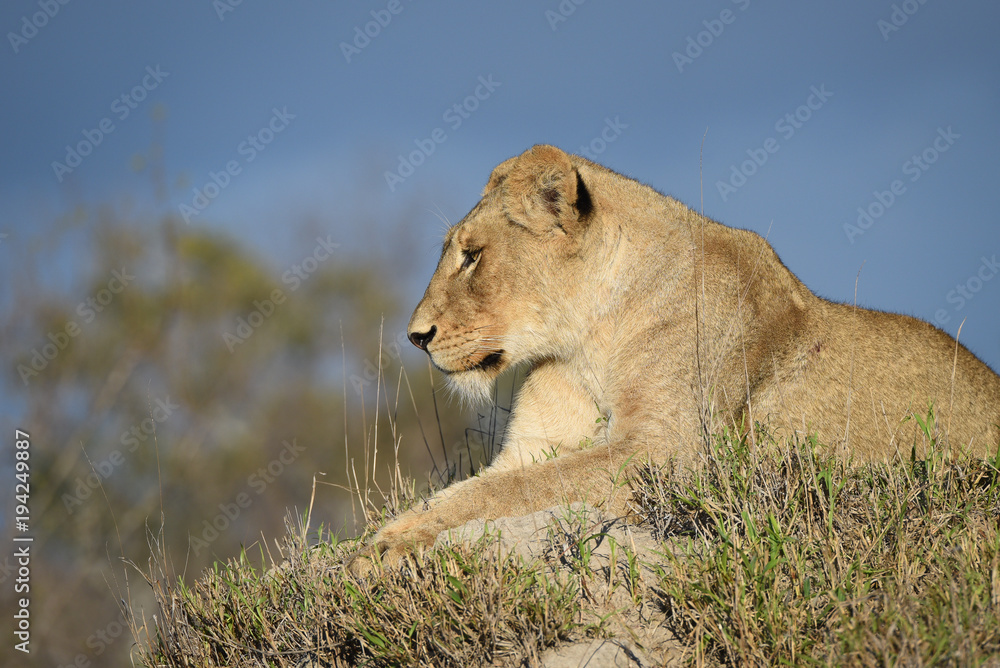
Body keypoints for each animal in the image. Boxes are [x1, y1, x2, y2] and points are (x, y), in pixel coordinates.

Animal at [348, 144, 1000, 574]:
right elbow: (493, 484)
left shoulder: (670, 453)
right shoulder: (534, 444)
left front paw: (387, 544)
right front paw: (387, 534)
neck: (586, 340)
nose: (416, 336)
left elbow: (513, 492)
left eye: (472, 256)